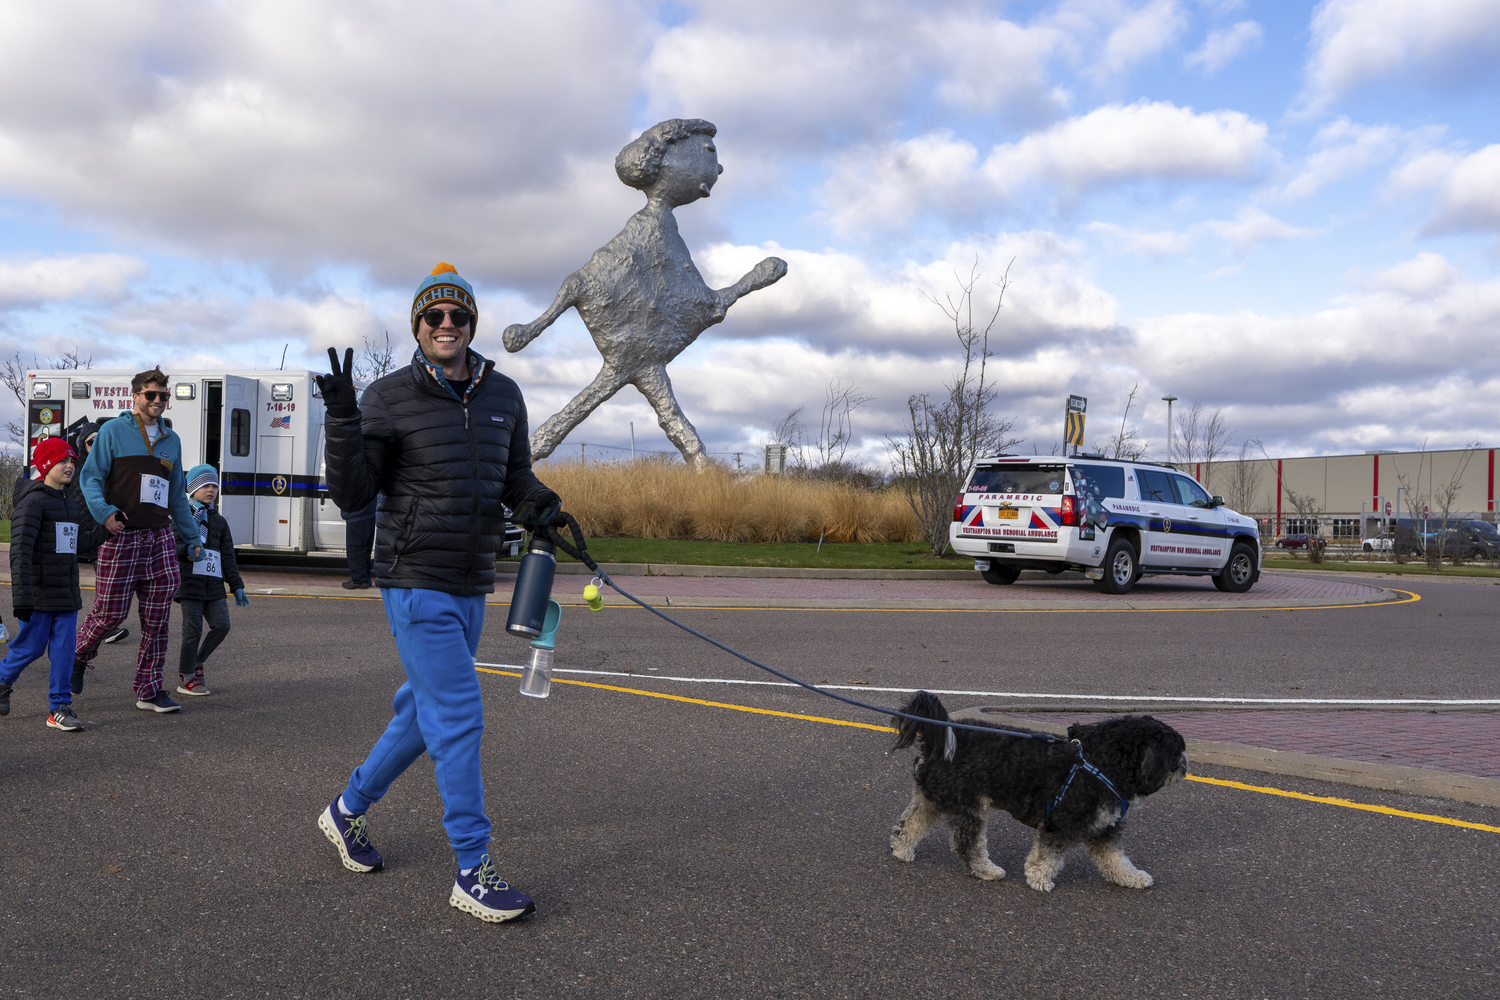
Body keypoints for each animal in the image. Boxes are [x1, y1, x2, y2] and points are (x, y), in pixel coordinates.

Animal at [888, 692, 1182, 893]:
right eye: (1177, 750)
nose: (1184, 764)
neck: (1102, 763)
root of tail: (942, 736)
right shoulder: (1061, 823)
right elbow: (1048, 856)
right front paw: (1039, 879)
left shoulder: (1105, 828)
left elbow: (1116, 859)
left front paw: (1132, 878)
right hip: (967, 805)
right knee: (967, 844)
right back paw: (986, 870)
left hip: (935, 798)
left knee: (909, 825)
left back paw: (902, 850)